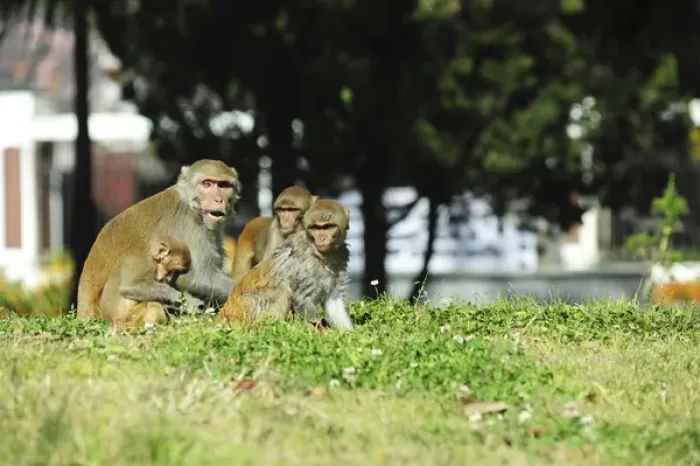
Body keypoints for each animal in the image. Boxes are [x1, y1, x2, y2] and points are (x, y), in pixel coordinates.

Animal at [77, 159, 242, 321]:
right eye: (206, 184)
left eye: (224, 185)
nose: (219, 200)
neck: (190, 203)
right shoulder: (189, 224)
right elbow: (198, 278)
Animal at [219, 199, 354, 330]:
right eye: (315, 228)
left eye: (328, 226)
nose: (322, 238)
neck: (323, 254)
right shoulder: (306, 266)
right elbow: (302, 297)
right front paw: (319, 330)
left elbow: (334, 300)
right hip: (252, 310)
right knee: (283, 288)